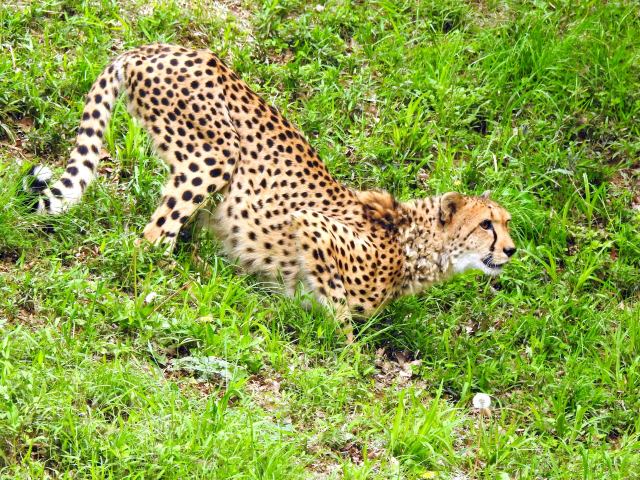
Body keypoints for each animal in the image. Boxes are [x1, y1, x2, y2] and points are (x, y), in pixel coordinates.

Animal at [22, 43, 516, 326]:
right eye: (487, 225)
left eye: (507, 224)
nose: (511, 250)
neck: (418, 246)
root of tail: (151, 47)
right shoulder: (313, 227)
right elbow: (341, 314)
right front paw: (336, 338)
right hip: (215, 154)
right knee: (150, 238)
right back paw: (179, 281)